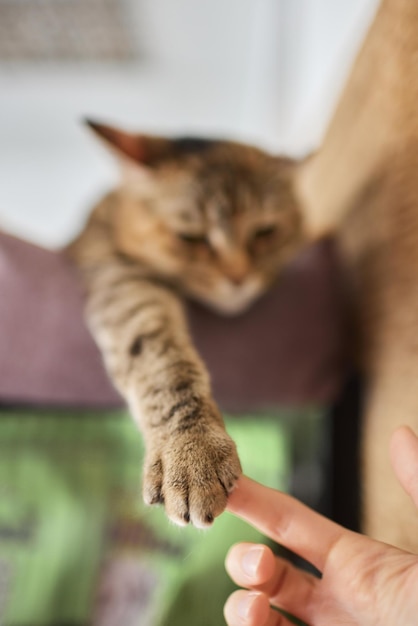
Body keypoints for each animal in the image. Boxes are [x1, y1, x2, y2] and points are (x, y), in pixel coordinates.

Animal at [68, 125, 304, 528]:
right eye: (190, 238)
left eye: (265, 232)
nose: (238, 278)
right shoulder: (121, 276)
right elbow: (163, 362)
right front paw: (189, 447)